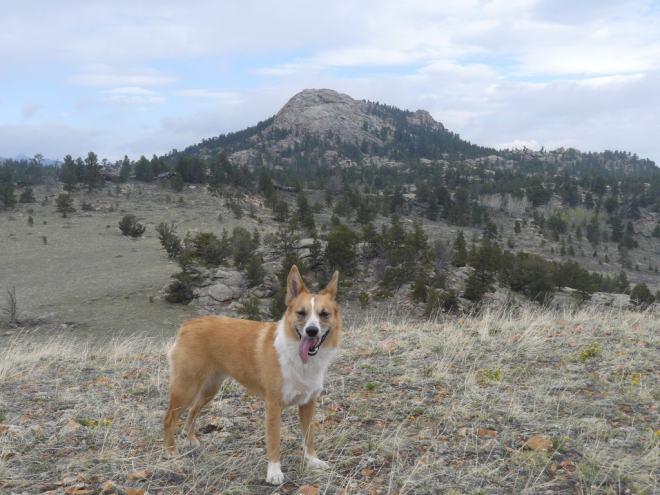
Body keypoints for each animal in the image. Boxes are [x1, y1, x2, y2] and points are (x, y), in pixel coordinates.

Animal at [164, 266, 342, 486]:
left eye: (324, 314)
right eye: (301, 313)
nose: (311, 331)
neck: (298, 359)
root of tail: (189, 323)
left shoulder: (308, 404)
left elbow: (308, 437)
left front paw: (312, 461)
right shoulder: (273, 407)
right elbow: (273, 442)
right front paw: (274, 472)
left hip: (209, 390)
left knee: (193, 411)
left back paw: (190, 439)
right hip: (186, 388)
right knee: (169, 419)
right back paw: (171, 452)